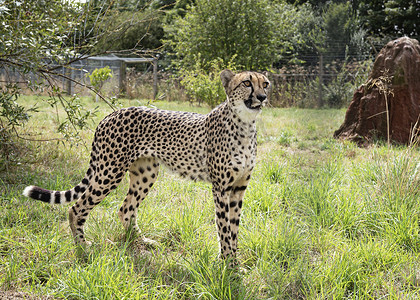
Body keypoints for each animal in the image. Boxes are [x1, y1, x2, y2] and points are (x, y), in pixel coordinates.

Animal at [23, 69, 270, 258]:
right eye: (247, 83)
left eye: (265, 84)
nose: (262, 97)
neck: (245, 125)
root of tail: (112, 113)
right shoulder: (221, 189)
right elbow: (224, 229)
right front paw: (228, 265)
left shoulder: (239, 188)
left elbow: (234, 229)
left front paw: (233, 262)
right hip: (109, 172)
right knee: (77, 208)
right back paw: (83, 246)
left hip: (145, 173)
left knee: (125, 208)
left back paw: (140, 242)